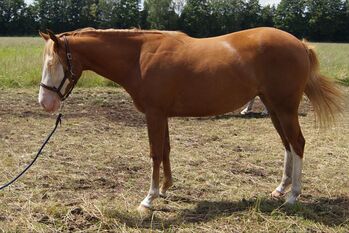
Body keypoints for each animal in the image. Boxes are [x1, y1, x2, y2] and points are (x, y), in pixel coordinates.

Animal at [38, 27, 342, 213]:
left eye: (53, 63)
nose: (45, 103)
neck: (139, 57)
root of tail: (299, 44)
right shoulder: (161, 114)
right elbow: (166, 150)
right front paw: (165, 189)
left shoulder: (154, 114)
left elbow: (155, 154)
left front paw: (148, 199)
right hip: (274, 107)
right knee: (287, 145)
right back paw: (280, 189)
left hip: (285, 108)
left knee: (297, 144)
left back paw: (293, 196)